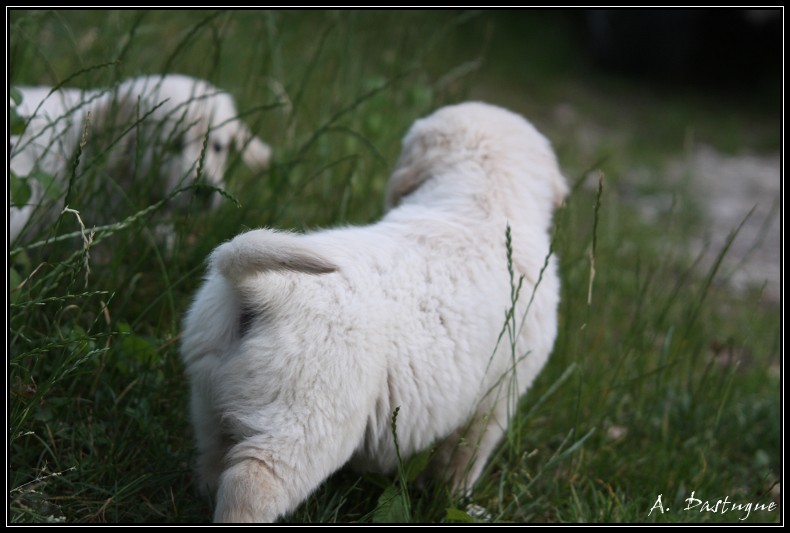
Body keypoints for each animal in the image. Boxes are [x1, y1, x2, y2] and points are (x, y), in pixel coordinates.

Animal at [183, 102, 568, 520]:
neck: (481, 201)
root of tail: (266, 289)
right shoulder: (496, 398)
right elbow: (462, 462)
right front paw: (460, 504)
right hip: (303, 422)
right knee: (252, 483)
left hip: (208, 391)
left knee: (211, 459)